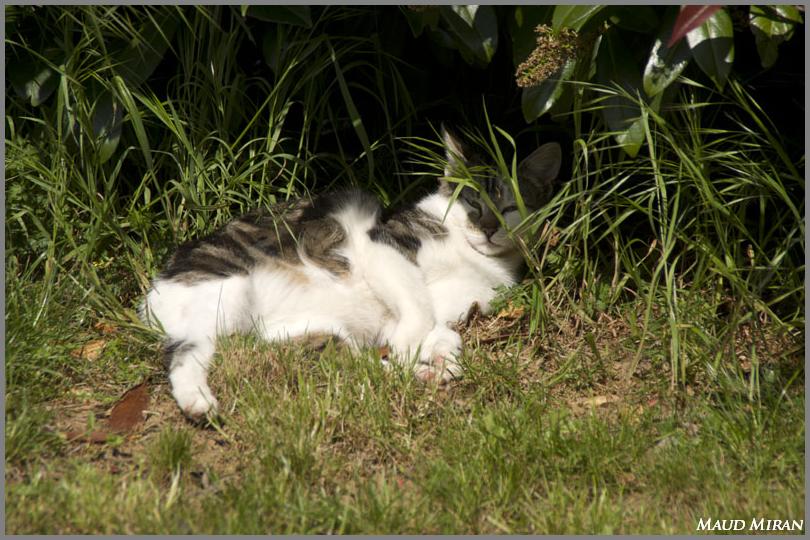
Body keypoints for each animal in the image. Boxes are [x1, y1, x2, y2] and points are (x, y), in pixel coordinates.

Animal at [142, 129, 560, 420]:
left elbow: (435, 325)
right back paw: (198, 403)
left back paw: (427, 373)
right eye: (473, 202)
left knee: (357, 367)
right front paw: (417, 347)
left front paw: (437, 352)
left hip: (314, 332)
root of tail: (152, 292)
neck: (473, 256)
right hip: (222, 291)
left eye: (509, 207)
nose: (488, 228)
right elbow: (417, 305)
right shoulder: (383, 245)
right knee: (181, 355)